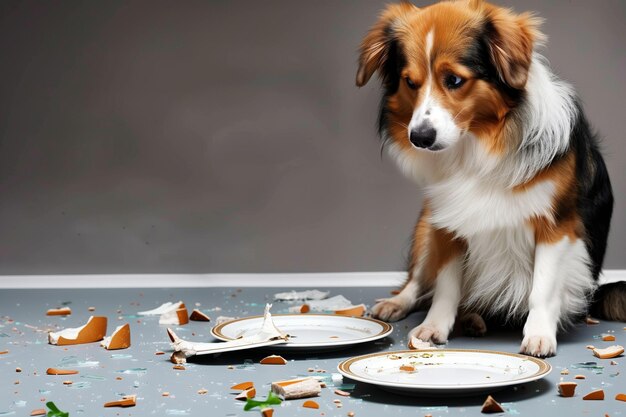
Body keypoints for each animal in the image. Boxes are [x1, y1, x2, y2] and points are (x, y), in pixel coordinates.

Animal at [356, 0, 624, 358]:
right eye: (410, 83)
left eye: (454, 80)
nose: (420, 137)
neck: (477, 147)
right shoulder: (448, 222)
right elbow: (445, 285)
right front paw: (433, 327)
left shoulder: (556, 227)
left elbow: (542, 288)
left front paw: (539, 335)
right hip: (426, 224)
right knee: (416, 281)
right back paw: (401, 304)